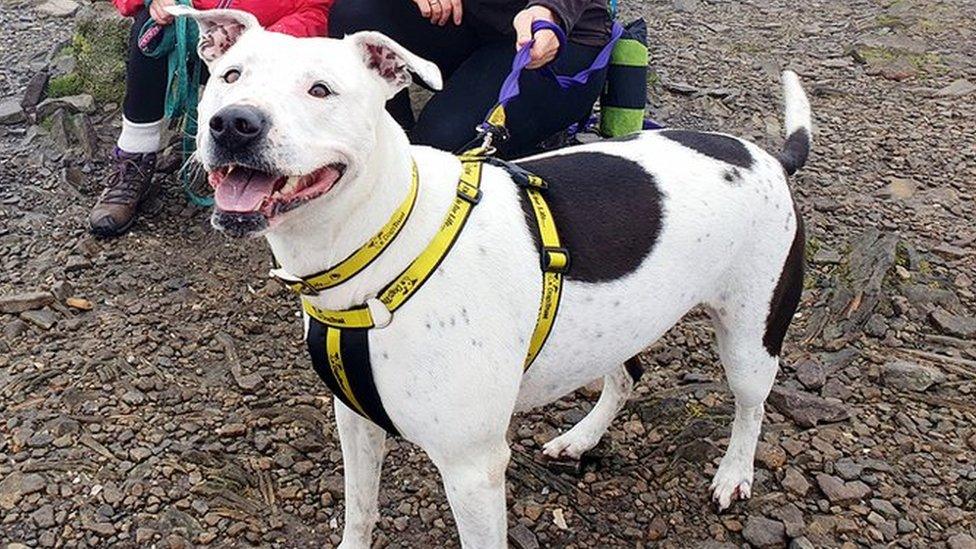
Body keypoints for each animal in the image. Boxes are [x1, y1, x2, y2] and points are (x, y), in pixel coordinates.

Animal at [173, 7, 808, 544]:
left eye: (321, 90)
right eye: (230, 76)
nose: (234, 123)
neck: (383, 251)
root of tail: (768, 156)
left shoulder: (471, 468)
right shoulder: (355, 423)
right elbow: (360, 512)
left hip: (750, 339)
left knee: (751, 407)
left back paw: (733, 474)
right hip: (623, 322)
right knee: (628, 374)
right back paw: (582, 437)